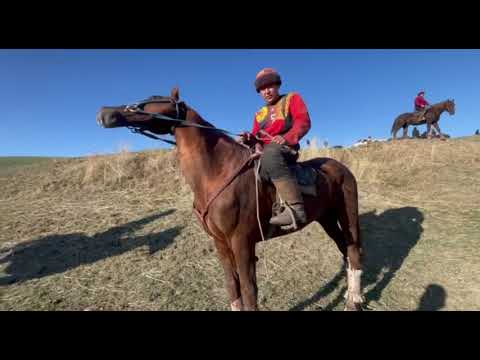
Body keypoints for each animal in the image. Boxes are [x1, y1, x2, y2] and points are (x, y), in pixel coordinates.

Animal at [95, 86, 362, 310]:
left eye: (153, 98)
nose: (104, 112)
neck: (215, 172)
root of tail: (342, 169)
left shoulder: (241, 242)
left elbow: (248, 289)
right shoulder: (221, 242)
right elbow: (233, 287)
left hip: (347, 216)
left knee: (354, 251)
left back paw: (355, 301)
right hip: (326, 219)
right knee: (345, 251)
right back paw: (349, 295)